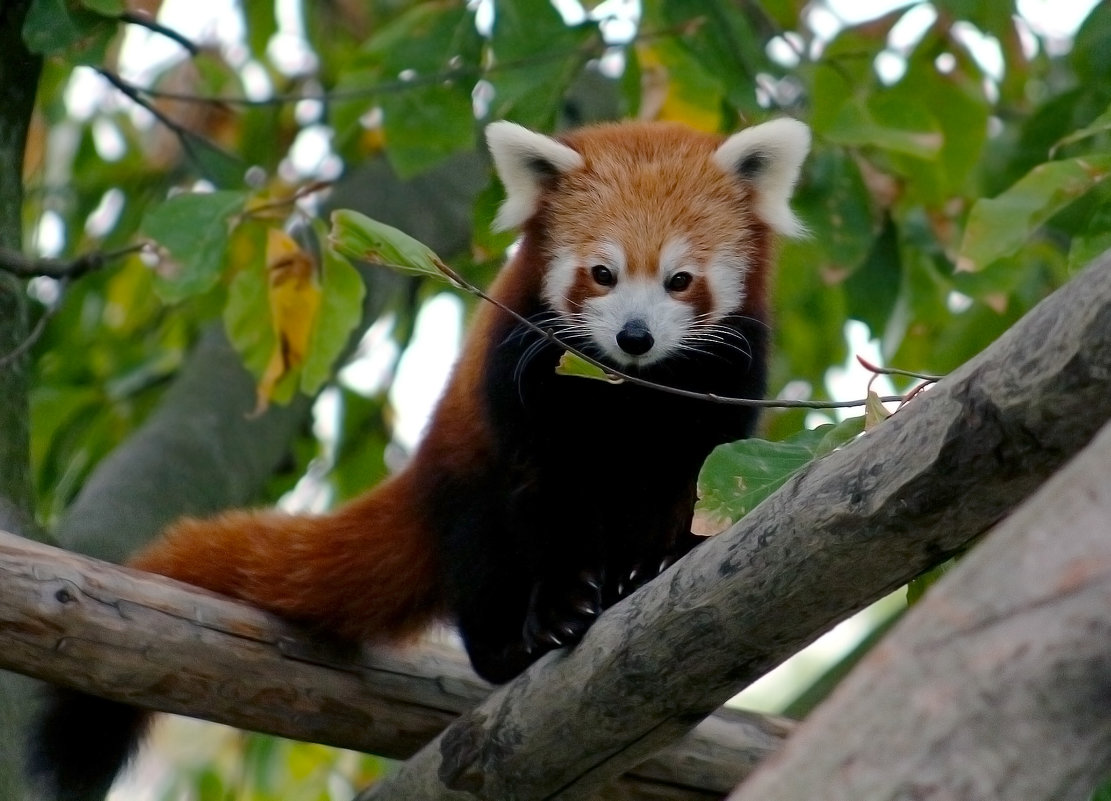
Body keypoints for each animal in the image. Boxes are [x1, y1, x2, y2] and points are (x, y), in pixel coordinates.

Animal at [26, 115, 808, 795]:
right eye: (601, 274)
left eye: (679, 279)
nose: (635, 337)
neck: (626, 393)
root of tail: (422, 472)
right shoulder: (521, 384)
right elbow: (547, 499)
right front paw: (560, 606)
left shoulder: (723, 384)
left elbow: (700, 486)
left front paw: (665, 559)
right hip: (464, 484)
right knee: (486, 552)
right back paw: (507, 646)